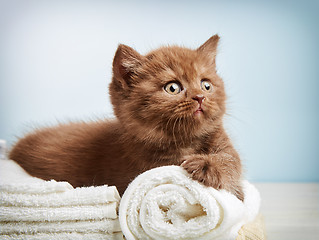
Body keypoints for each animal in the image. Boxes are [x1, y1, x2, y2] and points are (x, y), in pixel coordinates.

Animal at [10, 35, 245, 201]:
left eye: (206, 85)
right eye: (172, 87)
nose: (200, 97)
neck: (185, 141)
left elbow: (232, 161)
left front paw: (209, 166)